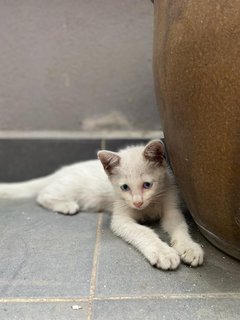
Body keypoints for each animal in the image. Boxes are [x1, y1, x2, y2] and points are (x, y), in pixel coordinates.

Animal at [0, 140, 203, 270]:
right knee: (43, 195)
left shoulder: (171, 207)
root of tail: (62, 170)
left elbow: (179, 227)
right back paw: (66, 206)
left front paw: (189, 248)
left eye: (147, 185)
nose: (137, 202)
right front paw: (163, 252)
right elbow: (143, 232)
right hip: (68, 188)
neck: (148, 207)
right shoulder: (121, 218)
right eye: (124, 187)